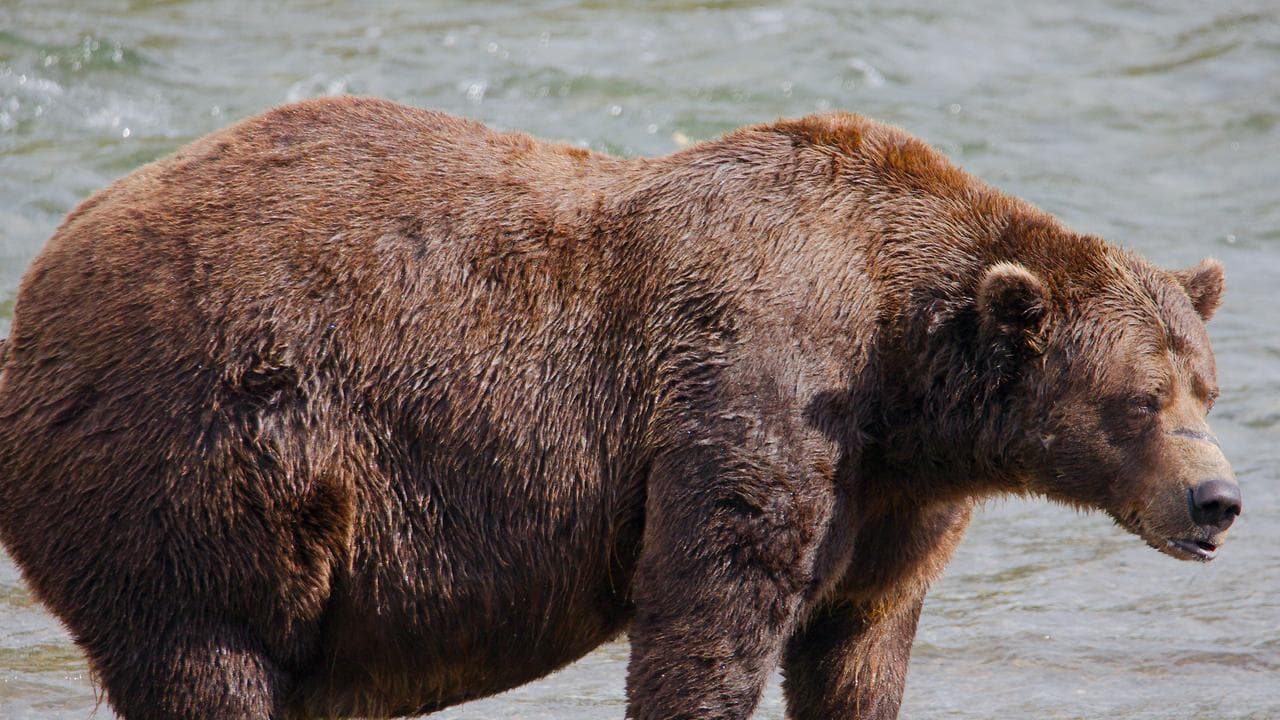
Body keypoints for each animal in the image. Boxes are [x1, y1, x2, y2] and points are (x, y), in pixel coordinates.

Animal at [0, 96, 1239, 720]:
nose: (1215, 499)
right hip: (198, 460)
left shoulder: (896, 496)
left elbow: (859, 639)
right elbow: (711, 609)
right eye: (1137, 399)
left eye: (1204, 385)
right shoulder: (755, 388)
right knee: (206, 656)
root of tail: (41, 279)